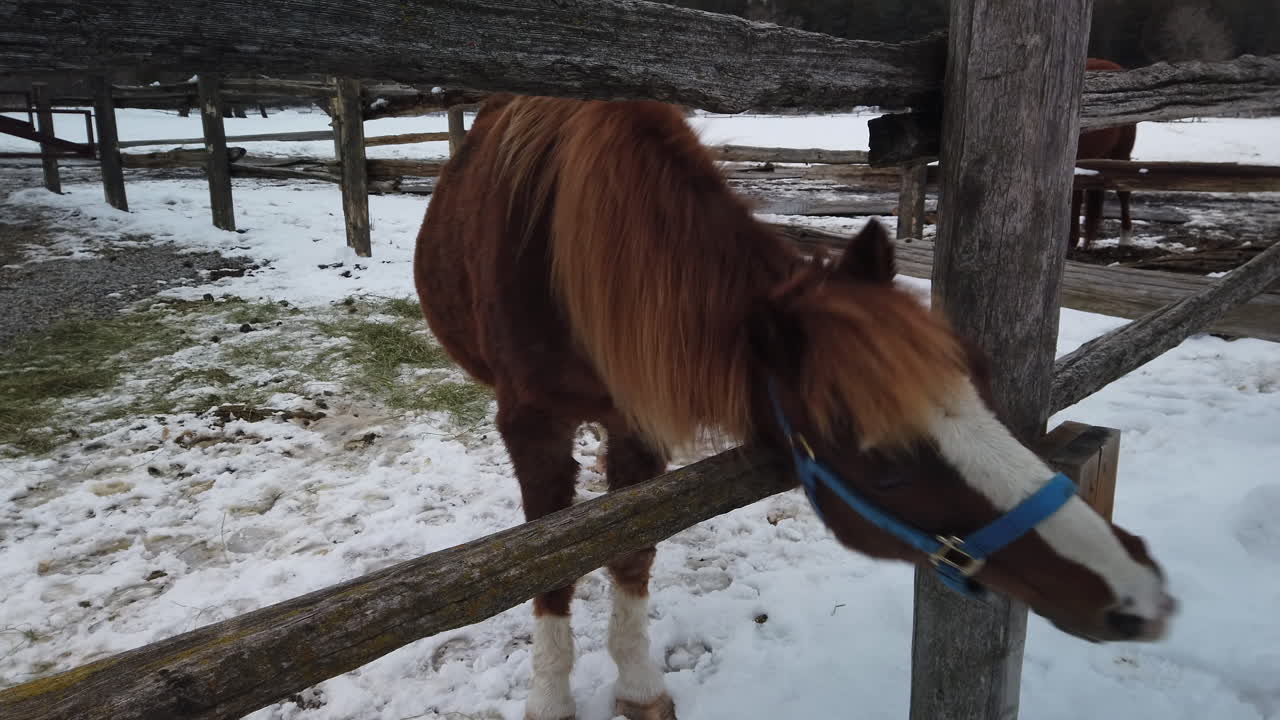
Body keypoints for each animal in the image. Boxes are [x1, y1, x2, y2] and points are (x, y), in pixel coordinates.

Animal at [413, 95, 1175, 720]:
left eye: (981, 386)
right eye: (887, 467)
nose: (1138, 592)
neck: (565, 260)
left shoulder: (639, 419)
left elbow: (626, 551)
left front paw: (639, 687)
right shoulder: (532, 426)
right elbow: (548, 564)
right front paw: (549, 700)